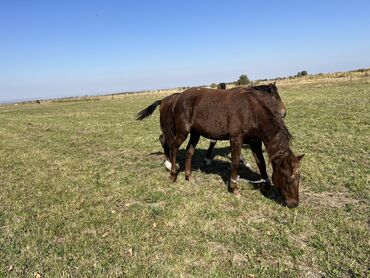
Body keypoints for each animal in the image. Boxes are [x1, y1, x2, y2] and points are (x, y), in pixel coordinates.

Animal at [137, 84, 304, 208]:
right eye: (287, 178)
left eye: (299, 177)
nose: (294, 204)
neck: (252, 111)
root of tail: (176, 97)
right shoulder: (236, 139)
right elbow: (235, 163)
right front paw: (234, 188)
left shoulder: (255, 141)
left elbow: (261, 163)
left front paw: (266, 186)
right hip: (182, 131)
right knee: (173, 147)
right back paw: (172, 174)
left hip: (195, 133)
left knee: (190, 151)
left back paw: (188, 177)